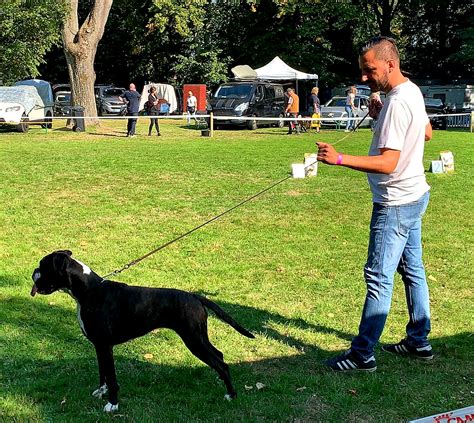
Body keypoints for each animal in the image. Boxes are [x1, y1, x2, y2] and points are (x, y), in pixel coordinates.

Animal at [31, 250, 254, 412]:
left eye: (43, 266)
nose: (33, 271)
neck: (88, 290)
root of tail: (195, 296)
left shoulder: (105, 346)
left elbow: (112, 377)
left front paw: (112, 404)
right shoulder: (99, 347)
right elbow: (103, 373)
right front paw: (101, 392)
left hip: (194, 340)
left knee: (221, 363)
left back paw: (231, 394)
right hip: (199, 337)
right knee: (219, 355)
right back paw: (220, 380)